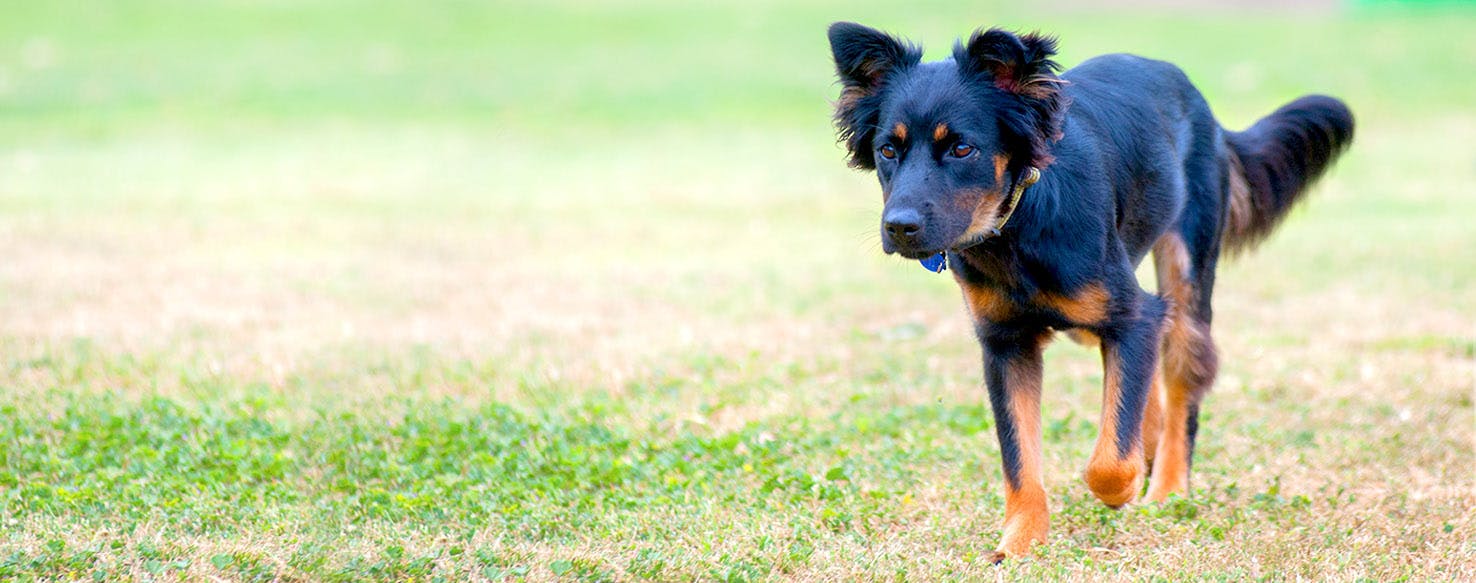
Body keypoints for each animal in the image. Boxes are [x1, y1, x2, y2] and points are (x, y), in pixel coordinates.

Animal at [826, 22, 1352, 560]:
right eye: (888, 150)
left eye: (961, 149)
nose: (899, 227)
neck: (1019, 222)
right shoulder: (1005, 345)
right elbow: (1020, 458)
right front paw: (1020, 541)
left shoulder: (1132, 316)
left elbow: (1109, 462)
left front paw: (1122, 488)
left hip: (1187, 268)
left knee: (1181, 375)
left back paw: (1168, 487)